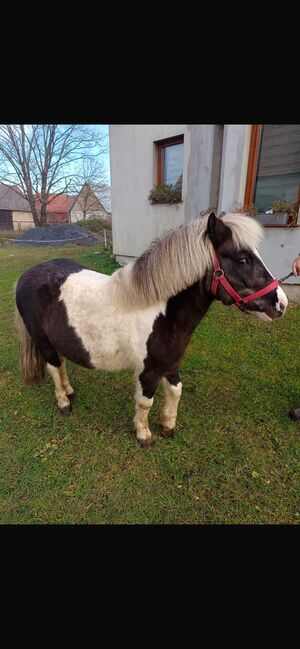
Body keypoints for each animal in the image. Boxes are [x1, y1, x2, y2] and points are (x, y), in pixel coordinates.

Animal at [14, 213, 288, 446]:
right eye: (242, 259)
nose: (282, 304)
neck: (160, 311)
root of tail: (26, 275)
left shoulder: (171, 362)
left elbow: (176, 391)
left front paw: (168, 425)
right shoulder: (149, 370)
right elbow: (145, 402)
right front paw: (143, 434)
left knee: (60, 363)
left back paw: (70, 391)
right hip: (43, 341)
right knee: (53, 367)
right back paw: (63, 402)